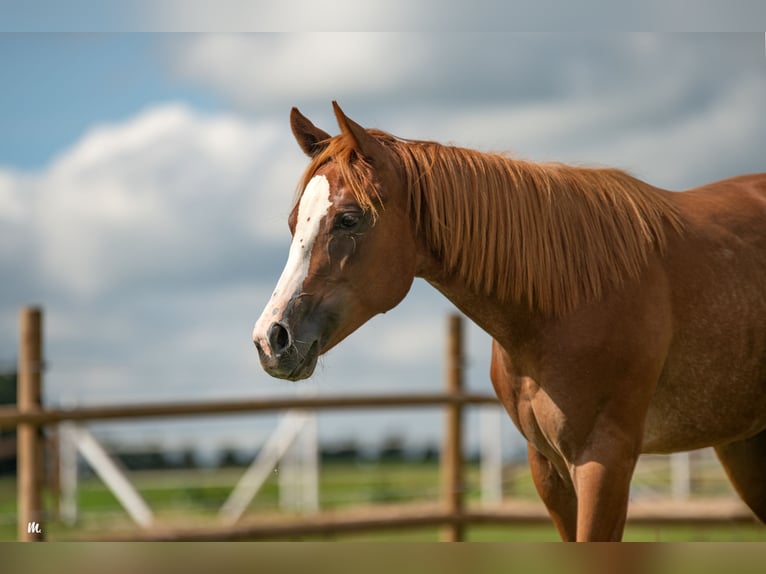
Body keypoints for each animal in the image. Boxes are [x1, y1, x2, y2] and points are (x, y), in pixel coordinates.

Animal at [252, 102, 766, 541]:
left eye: (349, 218)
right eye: (295, 221)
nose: (271, 339)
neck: (569, 298)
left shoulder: (606, 462)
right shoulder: (549, 469)